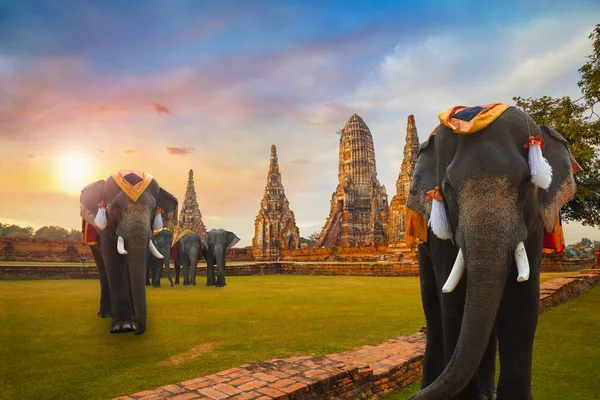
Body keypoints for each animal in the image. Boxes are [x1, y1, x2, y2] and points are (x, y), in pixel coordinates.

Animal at [79, 172, 176, 334]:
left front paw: (134, 320)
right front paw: (123, 327)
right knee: (102, 268)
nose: (138, 332)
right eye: (116, 208)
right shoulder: (106, 230)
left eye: (154, 209)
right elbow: (113, 261)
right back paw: (106, 314)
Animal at [408, 106, 576, 400]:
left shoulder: (533, 223)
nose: (413, 398)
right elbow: (453, 303)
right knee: (432, 307)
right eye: (448, 188)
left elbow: (523, 302)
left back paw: (487, 391)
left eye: (526, 181)